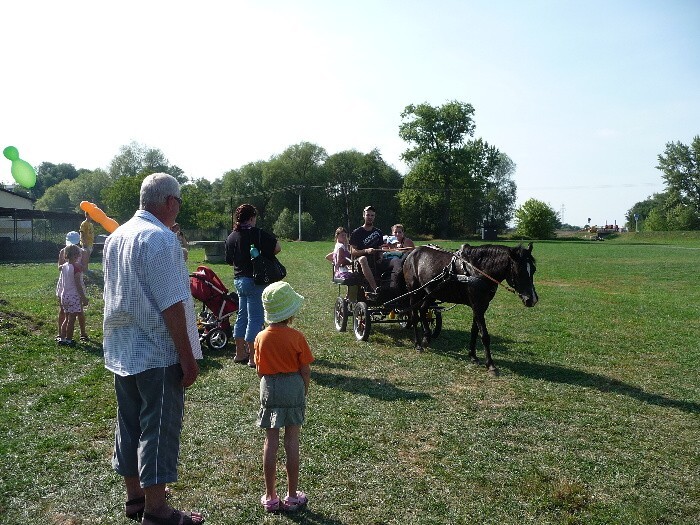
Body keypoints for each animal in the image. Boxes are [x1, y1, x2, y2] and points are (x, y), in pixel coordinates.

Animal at [400, 244, 540, 374]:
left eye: (533, 270)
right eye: (519, 271)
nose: (532, 299)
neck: (477, 270)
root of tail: (412, 253)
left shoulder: (481, 306)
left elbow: (475, 331)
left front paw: (473, 356)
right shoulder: (477, 305)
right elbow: (484, 335)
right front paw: (491, 365)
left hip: (431, 292)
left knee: (423, 310)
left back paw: (426, 338)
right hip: (414, 291)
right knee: (414, 316)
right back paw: (418, 344)